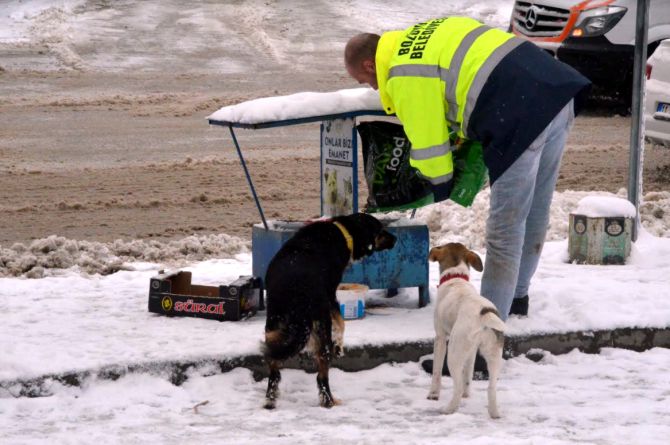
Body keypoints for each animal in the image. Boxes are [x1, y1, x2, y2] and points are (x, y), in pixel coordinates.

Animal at [264, 213, 400, 408]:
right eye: (380, 230)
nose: (395, 239)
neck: (342, 231)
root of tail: (295, 292)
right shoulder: (330, 295)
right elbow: (341, 322)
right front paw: (339, 344)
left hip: (272, 326)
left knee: (274, 366)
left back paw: (270, 398)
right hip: (320, 324)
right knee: (322, 376)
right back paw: (328, 400)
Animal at [428, 243, 506, 416]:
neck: (456, 276)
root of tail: (483, 314)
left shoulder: (440, 338)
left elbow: (436, 371)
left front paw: (433, 394)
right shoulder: (472, 350)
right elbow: (468, 373)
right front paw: (467, 393)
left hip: (453, 353)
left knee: (456, 387)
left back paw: (448, 409)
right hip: (494, 355)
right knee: (491, 388)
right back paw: (494, 413)